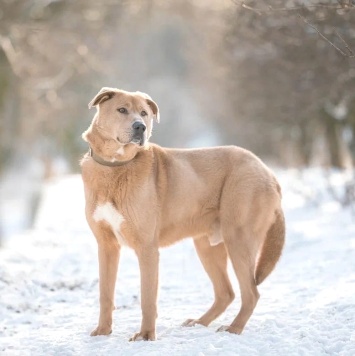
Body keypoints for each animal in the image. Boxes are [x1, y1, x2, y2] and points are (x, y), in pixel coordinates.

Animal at [80, 87, 286, 342]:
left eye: (144, 113)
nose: (140, 127)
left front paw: (146, 335)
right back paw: (199, 322)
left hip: (238, 239)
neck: (115, 166)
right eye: (122, 110)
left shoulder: (147, 248)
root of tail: (269, 173)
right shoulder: (106, 246)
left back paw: (233, 329)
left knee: (251, 293)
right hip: (207, 246)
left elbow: (147, 297)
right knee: (226, 293)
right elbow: (105, 294)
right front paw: (102, 331)